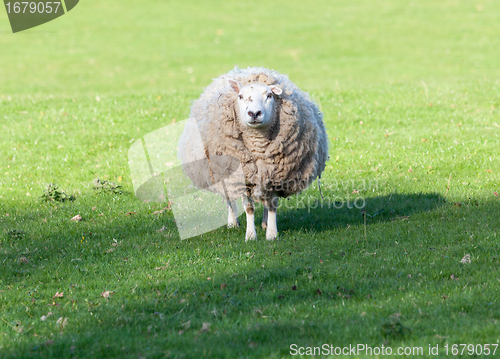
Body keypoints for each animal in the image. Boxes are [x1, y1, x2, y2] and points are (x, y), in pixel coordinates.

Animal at [179, 67, 328, 242]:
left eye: (269, 95)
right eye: (240, 97)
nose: (254, 113)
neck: (257, 145)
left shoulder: (275, 175)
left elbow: (272, 205)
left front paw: (271, 233)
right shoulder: (241, 178)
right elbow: (249, 208)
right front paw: (250, 235)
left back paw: (264, 223)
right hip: (222, 172)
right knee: (229, 198)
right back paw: (232, 222)